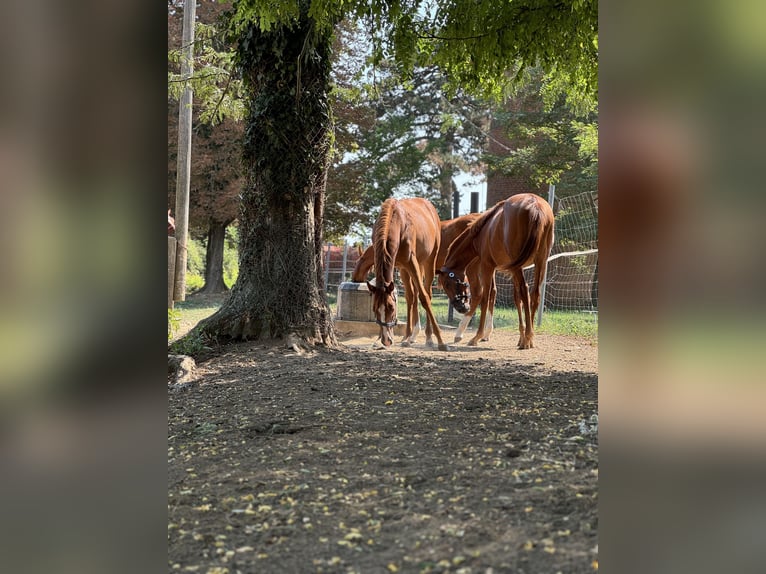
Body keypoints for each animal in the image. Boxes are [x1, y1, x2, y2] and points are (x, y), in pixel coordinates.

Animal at [352, 214, 488, 344]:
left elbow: (415, 295)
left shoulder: (409, 268)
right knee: (488, 295)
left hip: (471, 268)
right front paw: (412, 334)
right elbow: (416, 295)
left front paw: (412, 335)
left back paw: (461, 333)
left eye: (359, 262)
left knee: (478, 294)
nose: (354, 278)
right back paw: (483, 335)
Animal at [368, 198, 450, 352]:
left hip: (428, 261)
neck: (395, 223)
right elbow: (409, 298)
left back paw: (429, 337)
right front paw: (382, 339)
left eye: (391, 308)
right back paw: (409, 337)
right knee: (412, 295)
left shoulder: (411, 262)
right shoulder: (400, 266)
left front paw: (441, 341)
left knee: (427, 293)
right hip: (407, 269)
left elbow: (424, 298)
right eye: (374, 309)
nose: (386, 340)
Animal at [440, 194, 556, 348]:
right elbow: (516, 298)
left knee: (524, 291)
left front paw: (477, 336)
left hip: (516, 266)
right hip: (540, 262)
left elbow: (485, 296)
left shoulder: (487, 267)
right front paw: (521, 336)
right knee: (534, 294)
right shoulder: (510, 270)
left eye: (447, 284)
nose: (460, 307)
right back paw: (529, 337)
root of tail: (534, 205)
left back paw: (527, 337)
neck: (482, 232)